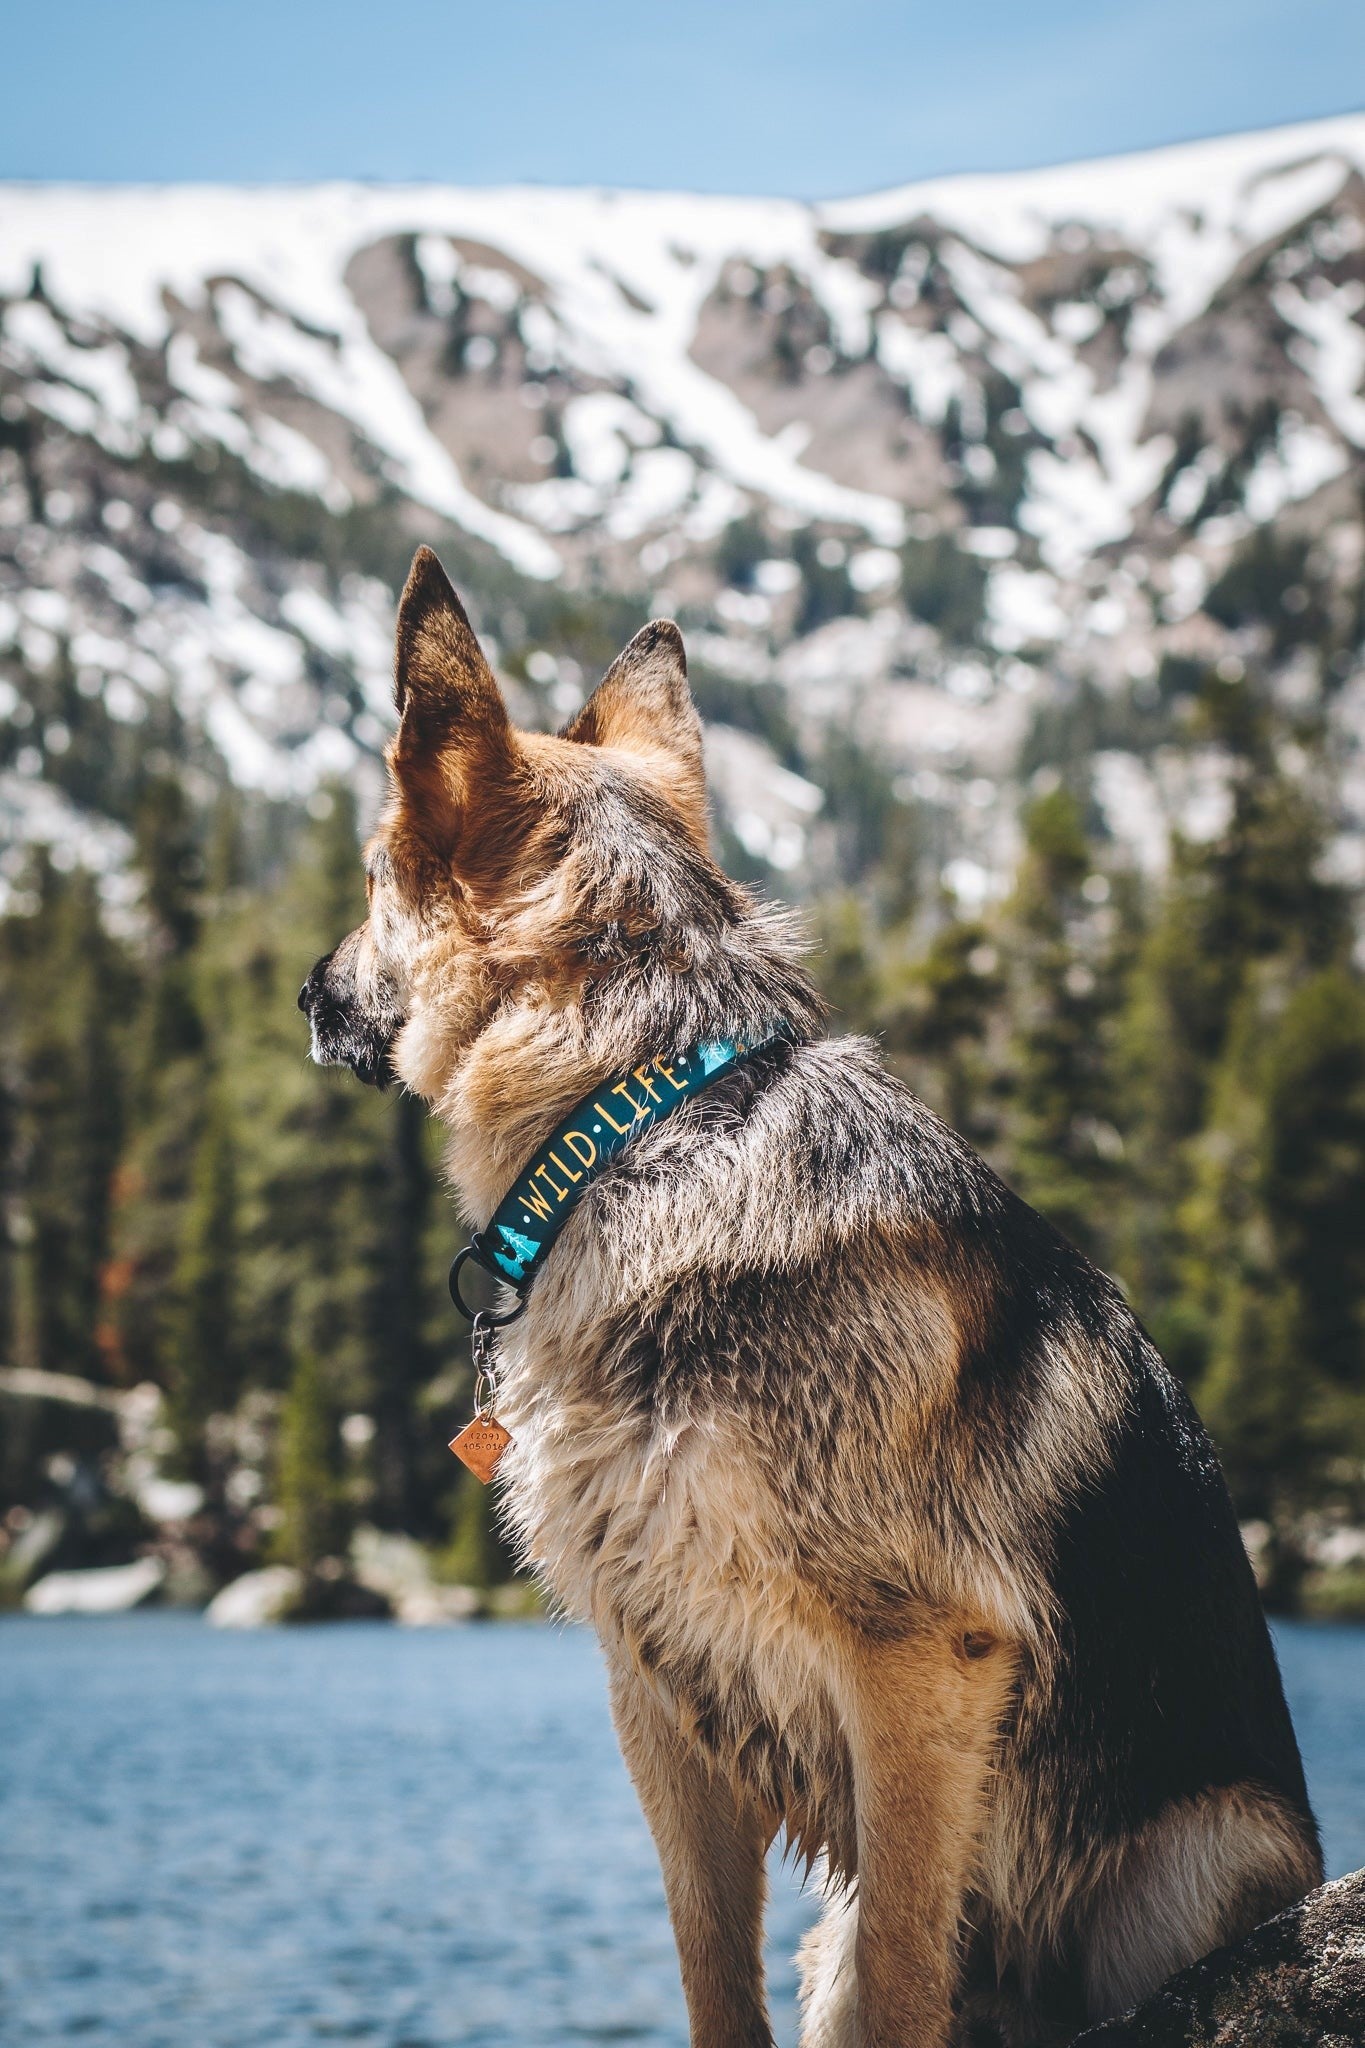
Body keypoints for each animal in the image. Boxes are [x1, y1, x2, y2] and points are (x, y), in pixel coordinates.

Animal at [300, 548, 1326, 2048]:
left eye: (377, 875)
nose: (305, 992)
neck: (646, 1114)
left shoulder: (918, 1666)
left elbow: (902, 1962)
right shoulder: (656, 1687)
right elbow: (710, 1966)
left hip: (1198, 1860)